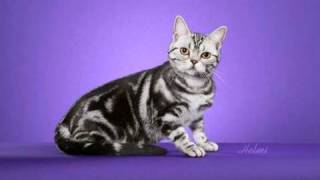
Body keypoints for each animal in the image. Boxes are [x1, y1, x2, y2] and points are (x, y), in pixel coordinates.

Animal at [55, 15, 228, 157]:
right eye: (184, 51)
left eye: (205, 55)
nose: (194, 61)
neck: (194, 87)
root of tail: (66, 118)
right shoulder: (166, 115)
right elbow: (181, 134)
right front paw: (191, 147)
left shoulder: (198, 115)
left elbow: (199, 130)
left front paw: (204, 143)